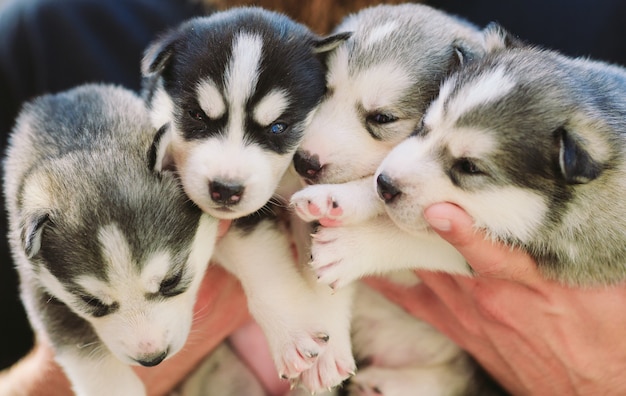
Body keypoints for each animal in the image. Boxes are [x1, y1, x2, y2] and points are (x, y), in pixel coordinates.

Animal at [3, 84, 217, 396]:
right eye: (92, 302)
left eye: (171, 281)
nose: (152, 358)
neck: (85, 138)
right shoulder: (38, 287)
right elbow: (89, 357)